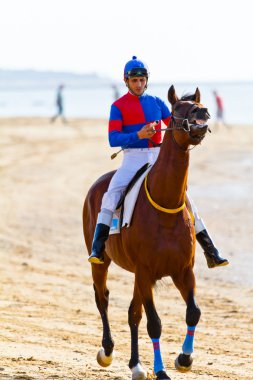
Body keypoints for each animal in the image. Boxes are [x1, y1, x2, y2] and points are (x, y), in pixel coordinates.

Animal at [82, 86, 210, 380]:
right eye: (176, 111)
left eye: (198, 104)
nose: (203, 112)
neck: (166, 206)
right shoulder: (145, 272)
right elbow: (154, 323)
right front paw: (161, 371)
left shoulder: (182, 270)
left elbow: (193, 312)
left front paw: (184, 358)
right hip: (102, 262)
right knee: (102, 298)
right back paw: (107, 351)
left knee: (133, 313)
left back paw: (136, 365)